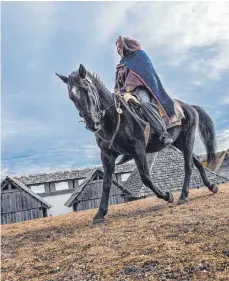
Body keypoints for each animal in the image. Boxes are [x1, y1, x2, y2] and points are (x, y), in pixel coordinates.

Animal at [56, 63, 217, 223]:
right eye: (72, 97)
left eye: (86, 89)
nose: (92, 124)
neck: (113, 117)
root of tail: (188, 106)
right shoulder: (107, 155)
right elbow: (106, 183)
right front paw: (100, 213)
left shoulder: (138, 149)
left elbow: (145, 177)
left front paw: (167, 195)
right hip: (179, 142)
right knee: (197, 162)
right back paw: (211, 186)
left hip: (188, 137)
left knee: (188, 165)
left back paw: (183, 195)